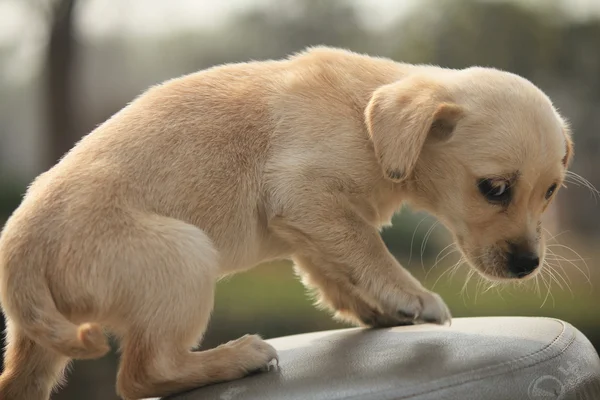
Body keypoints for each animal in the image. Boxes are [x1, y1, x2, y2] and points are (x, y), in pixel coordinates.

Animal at [0, 46, 572, 396]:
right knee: (144, 375)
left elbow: (339, 268)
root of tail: (22, 251)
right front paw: (413, 297)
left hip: (41, 349)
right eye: (494, 189)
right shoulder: (302, 193)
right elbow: (368, 247)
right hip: (186, 254)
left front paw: (380, 309)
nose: (528, 265)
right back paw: (236, 357)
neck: (364, 119)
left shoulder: (309, 226)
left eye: (550, 192)